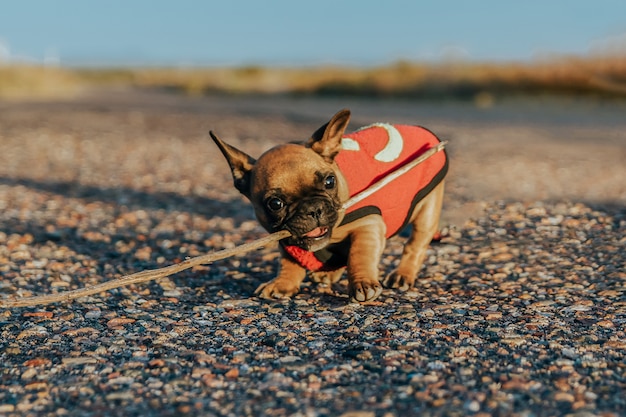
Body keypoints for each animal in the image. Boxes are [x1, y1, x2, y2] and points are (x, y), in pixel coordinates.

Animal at [212, 109, 446, 300]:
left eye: (329, 182)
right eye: (275, 204)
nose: (313, 209)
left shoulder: (368, 225)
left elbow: (359, 254)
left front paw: (362, 283)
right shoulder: (287, 239)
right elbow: (289, 262)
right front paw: (283, 283)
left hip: (427, 210)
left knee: (415, 244)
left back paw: (402, 274)